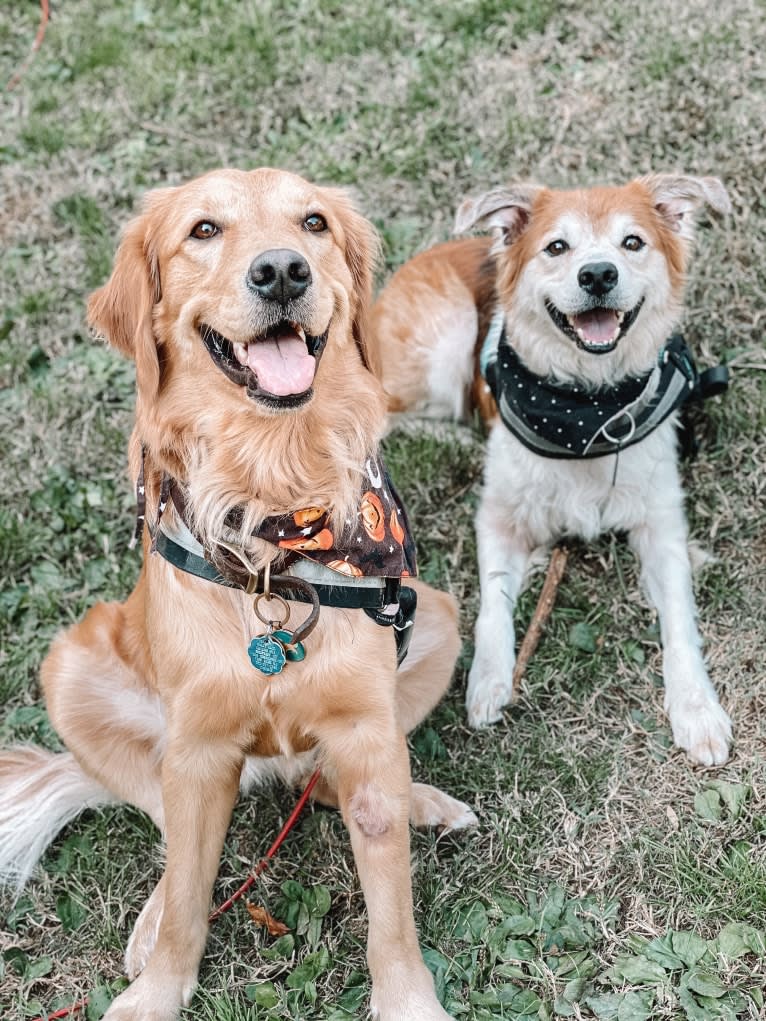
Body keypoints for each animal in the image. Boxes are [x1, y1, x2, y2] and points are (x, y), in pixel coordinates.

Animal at [375, 175, 735, 767]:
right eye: (557, 247)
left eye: (632, 243)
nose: (598, 275)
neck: (588, 409)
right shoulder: (498, 517)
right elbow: (493, 605)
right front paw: (488, 682)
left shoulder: (661, 524)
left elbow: (681, 618)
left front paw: (697, 710)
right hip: (446, 339)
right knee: (380, 413)